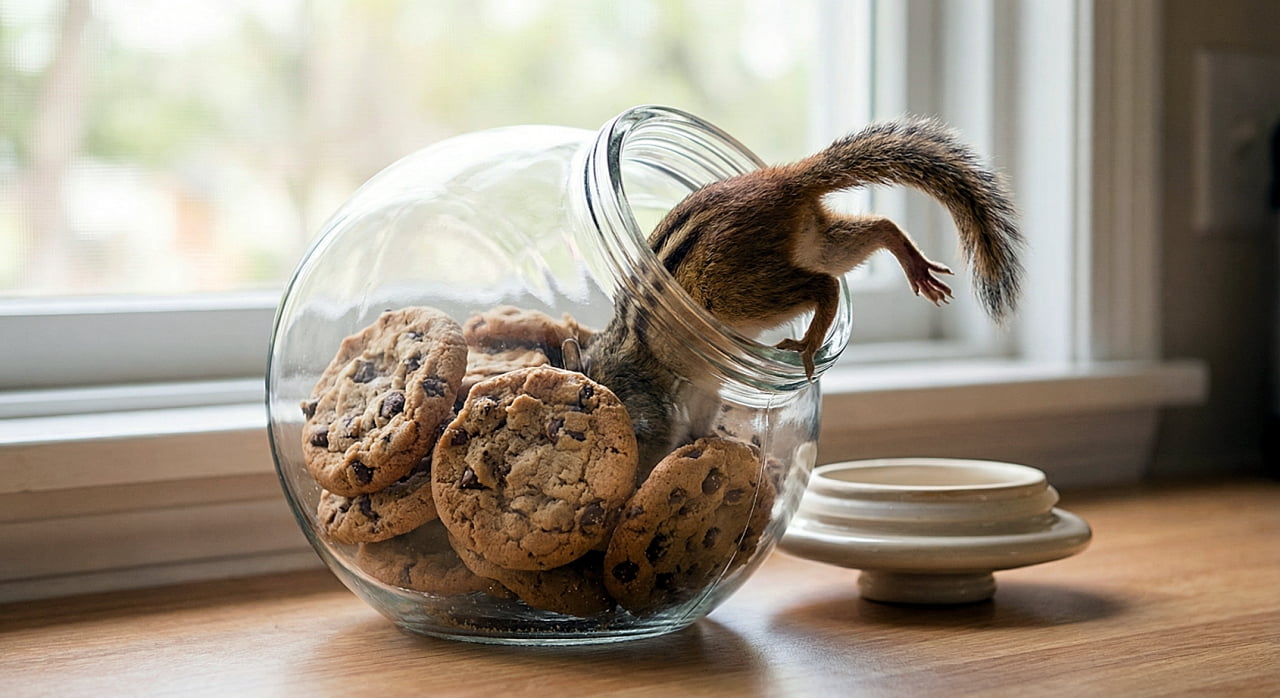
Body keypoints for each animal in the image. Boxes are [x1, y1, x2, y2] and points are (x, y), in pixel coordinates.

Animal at [584, 116, 1023, 470]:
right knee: (878, 228)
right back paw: (915, 266)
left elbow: (653, 444)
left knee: (822, 285)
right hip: (820, 242)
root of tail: (784, 182)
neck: (608, 366)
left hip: (742, 292)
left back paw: (809, 344)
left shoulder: (648, 409)